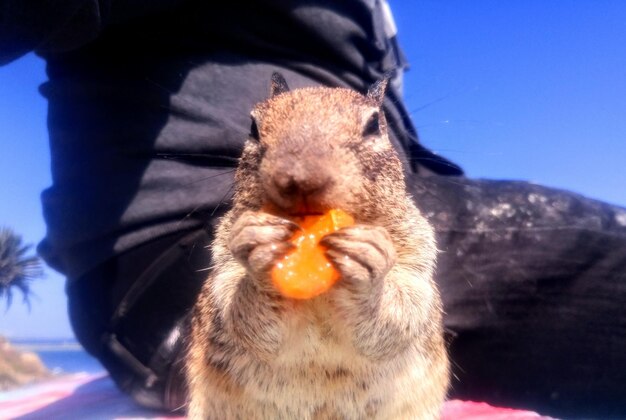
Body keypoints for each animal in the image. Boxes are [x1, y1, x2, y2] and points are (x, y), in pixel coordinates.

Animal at [185, 74, 448, 418]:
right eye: (253, 127)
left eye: (374, 125)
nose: (299, 178)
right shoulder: (224, 267)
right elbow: (243, 313)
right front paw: (260, 247)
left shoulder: (417, 259)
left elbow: (402, 311)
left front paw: (369, 266)